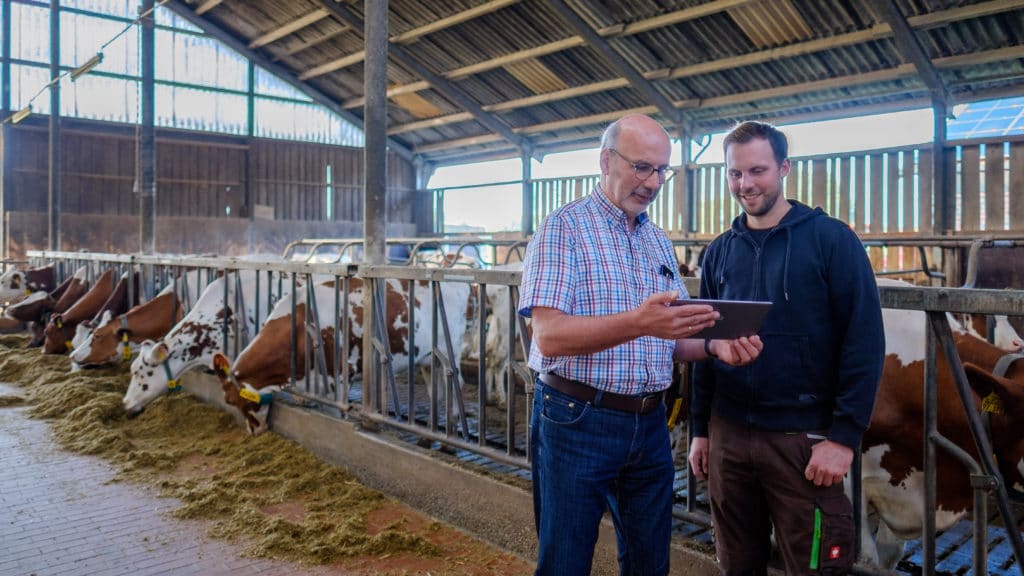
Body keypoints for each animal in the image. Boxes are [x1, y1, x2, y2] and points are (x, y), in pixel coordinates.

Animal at [216, 276, 471, 432]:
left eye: (232, 400)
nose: (254, 430)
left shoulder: (336, 377)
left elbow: (334, 413)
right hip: (427, 359)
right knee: (437, 391)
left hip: (450, 350)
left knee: (456, 383)